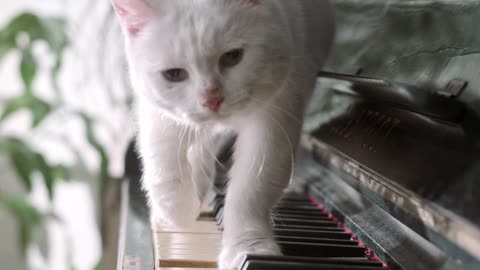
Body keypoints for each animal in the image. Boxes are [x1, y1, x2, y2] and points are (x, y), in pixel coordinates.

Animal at [112, 0, 334, 268]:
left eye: (232, 57)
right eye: (174, 75)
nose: (212, 99)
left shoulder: (276, 118)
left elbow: (252, 189)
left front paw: (248, 249)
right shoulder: (158, 113)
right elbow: (164, 166)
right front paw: (176, 214)